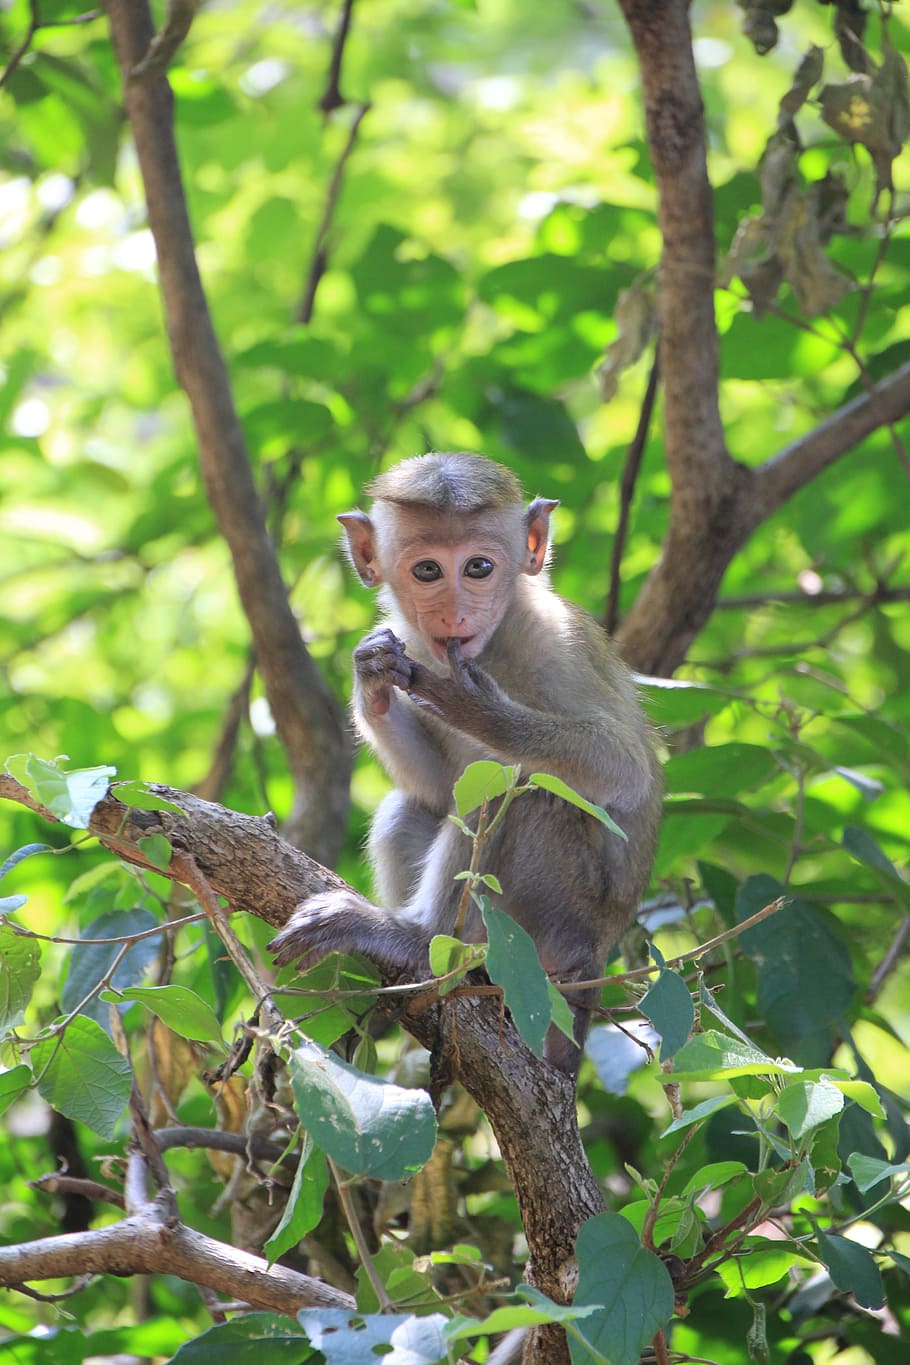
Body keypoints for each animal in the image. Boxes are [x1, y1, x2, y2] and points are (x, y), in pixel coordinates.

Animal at [270, 453, 663, 1070]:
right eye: (428, 571)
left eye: (479, 567)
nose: (454, 612)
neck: (496, 641)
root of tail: (594, 960)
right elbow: (436, 786)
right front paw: (370, 677)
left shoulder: (556, 642)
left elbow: (622, 769)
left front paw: (481, 712)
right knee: (414, 806)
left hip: (556, 917)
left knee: (521, 792)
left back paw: (416, 938)